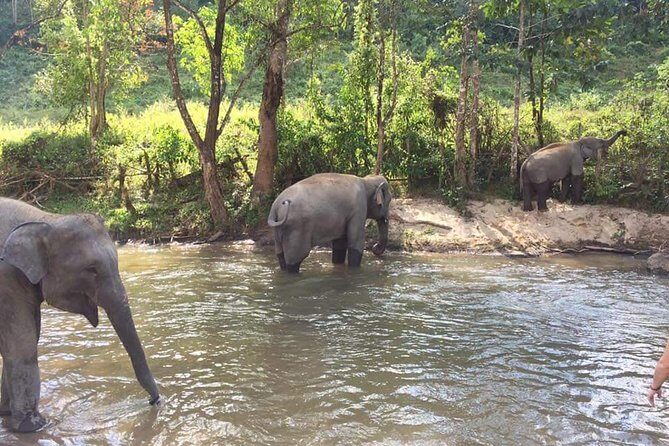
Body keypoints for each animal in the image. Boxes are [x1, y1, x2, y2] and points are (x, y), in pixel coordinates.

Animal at [0, 198, 160, 433]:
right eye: (91, 269)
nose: (153, 401)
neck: (46, 219)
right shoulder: (6, 279)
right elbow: (22, 346)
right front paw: (33, 426)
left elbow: (26, 339)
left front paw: (6, 414)